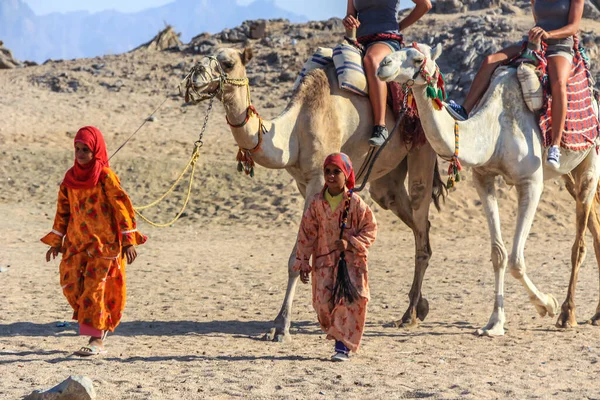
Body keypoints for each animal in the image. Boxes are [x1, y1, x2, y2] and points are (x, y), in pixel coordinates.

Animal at [185, 47, 448, 340]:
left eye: (228, 63)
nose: (195, 75)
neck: (293, 131)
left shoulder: (319, 177)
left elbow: (296, 258)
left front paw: (281, 325)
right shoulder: (304, 185)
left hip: (423, 146)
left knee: (421, 217)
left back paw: (409, 314)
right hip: (387, 177)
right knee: (412, 219)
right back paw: (420, 306)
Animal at [380, 43, 600, 334]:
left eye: (417, 58)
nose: (383, 64)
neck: (494, 131)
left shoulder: (531, 182)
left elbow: (517, 259)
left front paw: (547, 305)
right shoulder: (483, 179)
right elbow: (499, 254)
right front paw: (495, 322)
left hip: (590, 161)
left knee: (579, 243)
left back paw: (567, 313)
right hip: (568, 175)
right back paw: (596, 314)